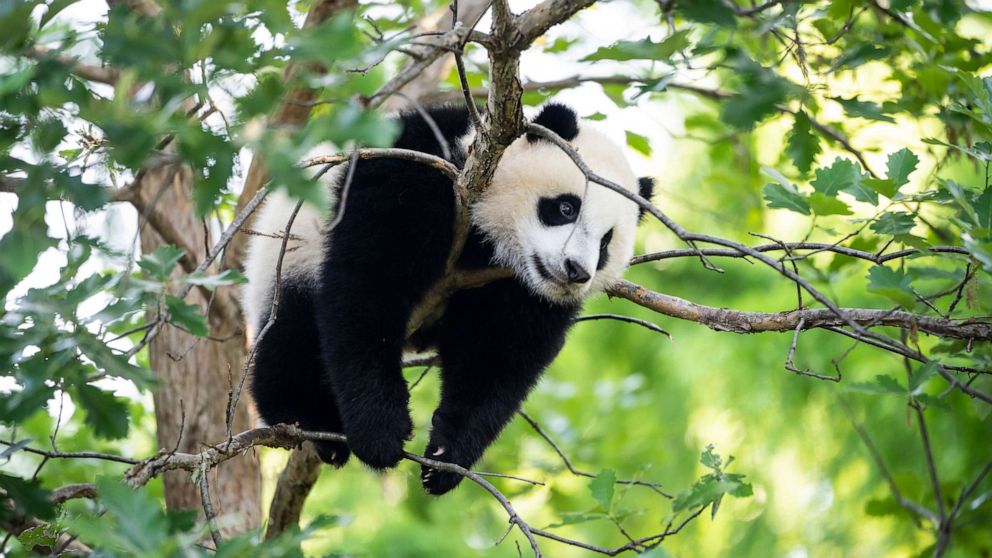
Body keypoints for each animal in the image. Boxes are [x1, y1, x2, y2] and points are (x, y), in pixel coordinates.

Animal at [244, 103, 656, 496]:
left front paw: (445, 457)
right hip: (289, 259)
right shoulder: (413, 176)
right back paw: (308, 419)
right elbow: (367, 286)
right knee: (291, 336)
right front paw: (381, 432)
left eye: (606, 243)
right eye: (566, 208)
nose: (576, 271)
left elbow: (499, 353)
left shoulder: (521, 292)